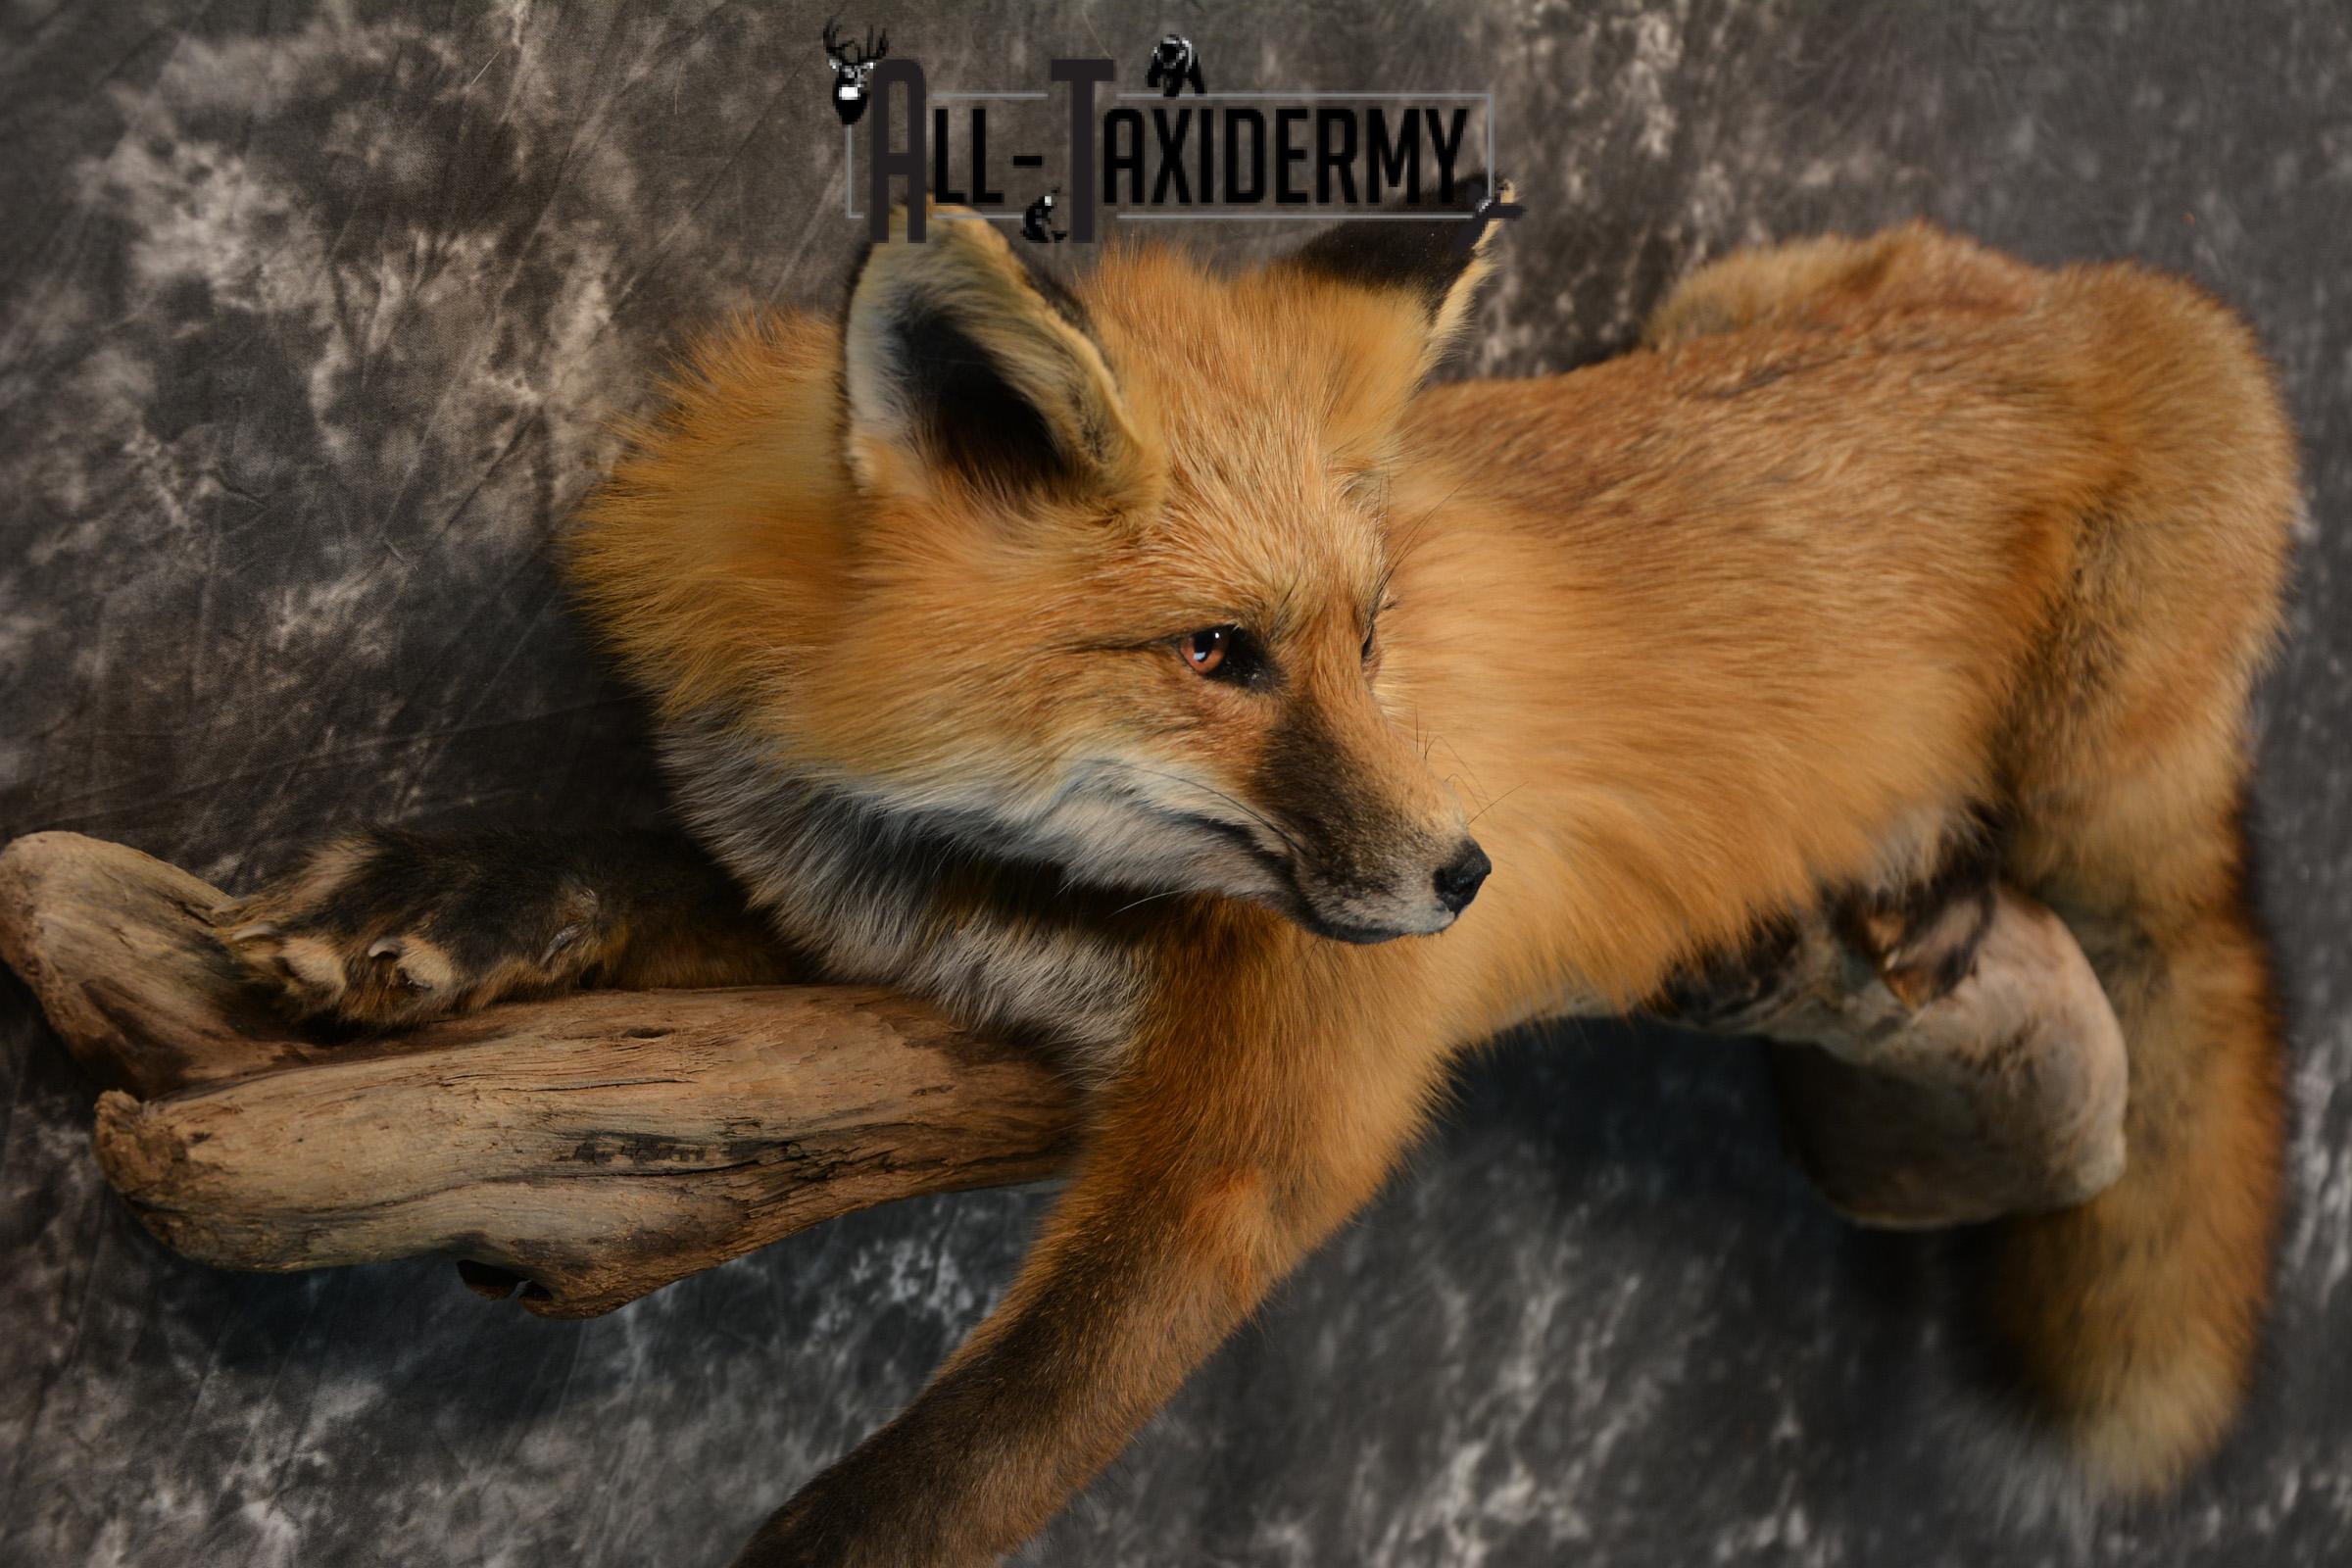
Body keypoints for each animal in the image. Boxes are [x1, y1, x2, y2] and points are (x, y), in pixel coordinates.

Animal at [215, 180, 2297, 1565]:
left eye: (1371, 636)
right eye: (1218, 654)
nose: (1466, 872)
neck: (1041, 888)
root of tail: (2103, 303)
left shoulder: (1255, 1139)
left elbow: (963, 1464)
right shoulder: (857, 913)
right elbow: (615, 867)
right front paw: (420, 905)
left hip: (2100, 748)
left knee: (2130, 888)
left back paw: (1921, 872)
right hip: (1732, 285)